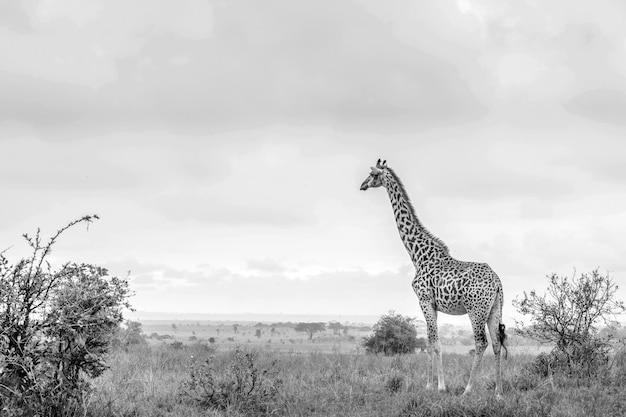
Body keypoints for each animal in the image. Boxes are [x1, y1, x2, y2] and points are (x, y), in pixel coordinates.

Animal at [358, 158, 504, 394]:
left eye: (373, 174)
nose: (362, 185)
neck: (418, 255)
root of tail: (498, 282)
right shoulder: (432, 305)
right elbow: (429, 342)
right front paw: (428, 384)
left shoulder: (424, 300)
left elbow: (435, 343)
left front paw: (440, 386)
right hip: (494, 309)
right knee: (498, 342)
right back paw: (498, 391)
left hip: (476, 310)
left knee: (481, 342)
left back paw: (467, 389)